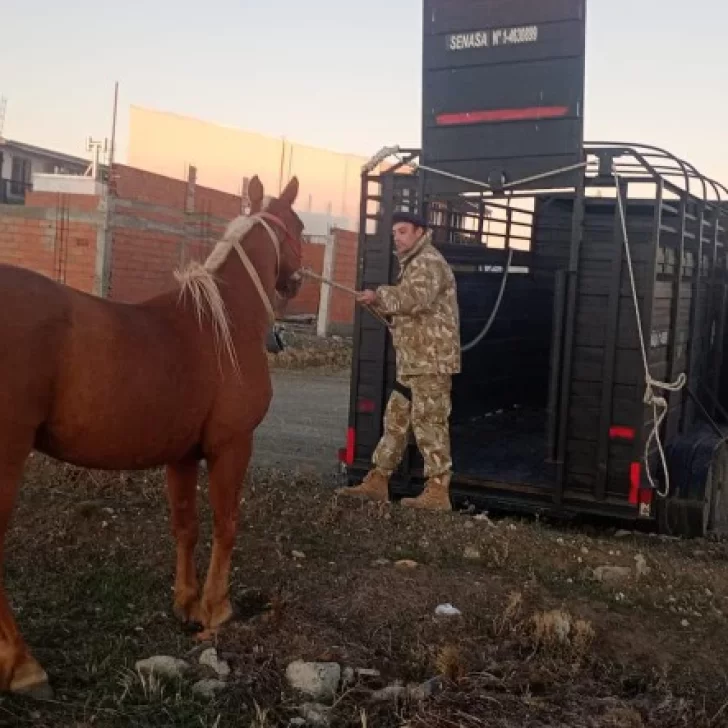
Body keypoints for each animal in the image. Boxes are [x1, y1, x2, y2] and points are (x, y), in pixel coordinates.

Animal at [0, 174, 304, 696]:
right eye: (300, 227)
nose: (296, 281)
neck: (223, 322)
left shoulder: (181, 455)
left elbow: (185, 526)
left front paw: (186, 604)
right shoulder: (231, 447)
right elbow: (226, 523)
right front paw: (215, 608)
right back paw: (23, 666)